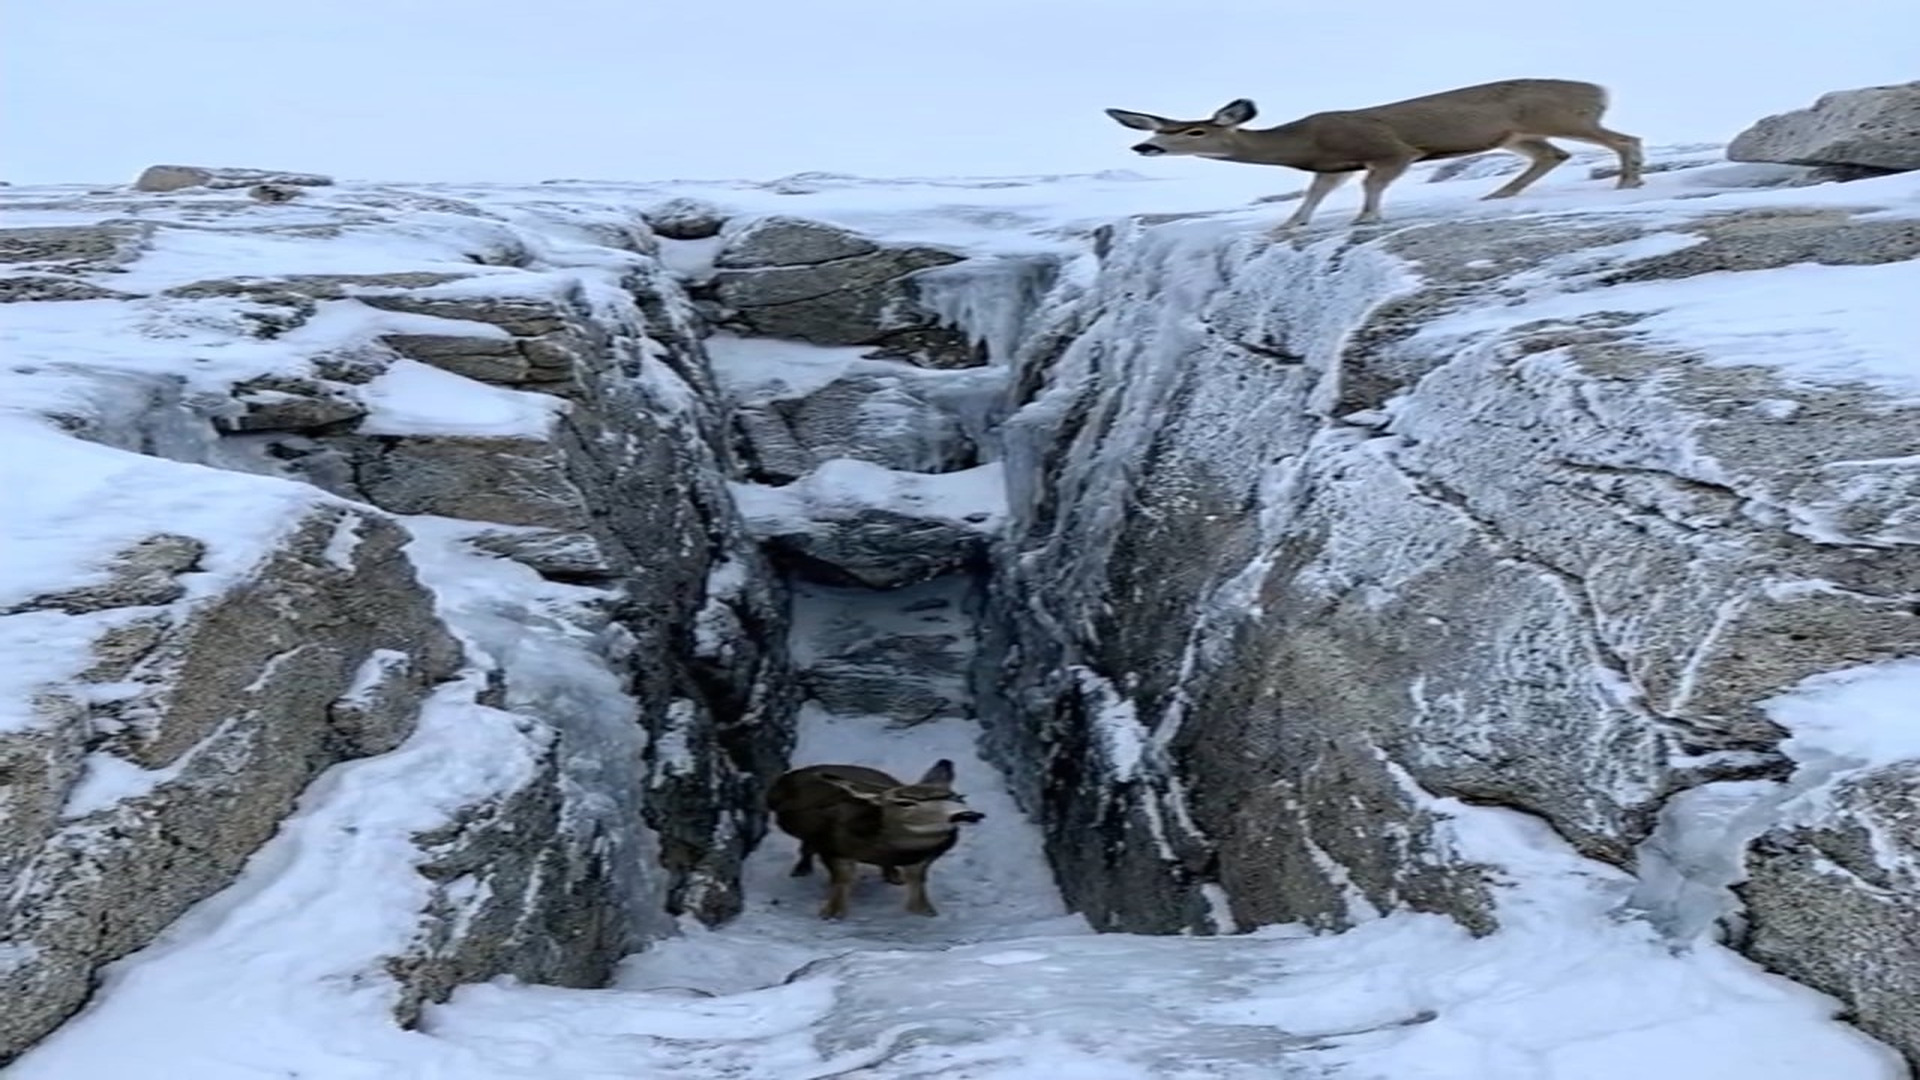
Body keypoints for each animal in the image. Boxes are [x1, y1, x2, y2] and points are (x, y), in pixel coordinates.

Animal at [765, 758, 985, 920]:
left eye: (957, 796)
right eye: (905, 802)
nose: (966, 814)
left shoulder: (925, 856)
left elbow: (917, 878)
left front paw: (924, 910)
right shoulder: (832, 845)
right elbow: (842, 878)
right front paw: (832, 913)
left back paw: (893, 875)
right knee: (806, 846)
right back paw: (801, 869)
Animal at [1105, 78, 1644, 230]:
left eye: (1196, 130)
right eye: (1161, 127)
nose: (1145, 144)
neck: (1301, 142)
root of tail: (1600, 89)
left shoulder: (1389, 150)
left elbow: (1372, 184)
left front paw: (1366, 218)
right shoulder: (1331, 166)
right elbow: (1312, 196)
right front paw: (1290, 224)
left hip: (1562, 118)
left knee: (1625, 139)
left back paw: (1630, 181)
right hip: (1514, 134)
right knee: (1551, 156)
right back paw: (1496, 196)